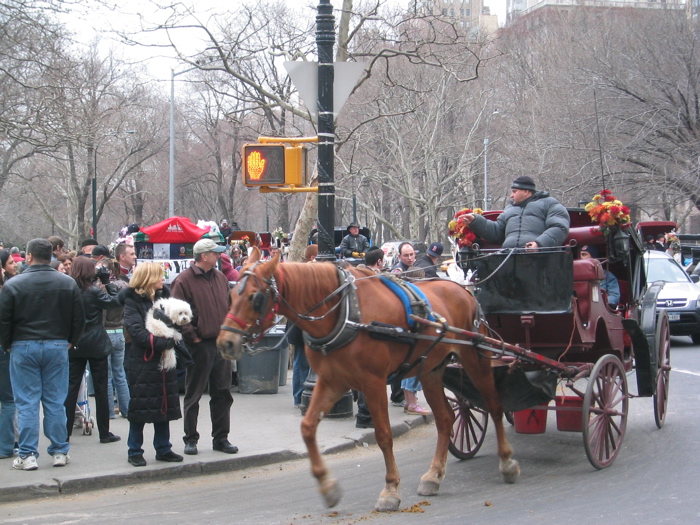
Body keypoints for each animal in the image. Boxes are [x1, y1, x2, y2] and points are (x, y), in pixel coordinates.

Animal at [219, 248, 520, 510]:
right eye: (231, 293)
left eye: (255, 297)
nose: (225, 343)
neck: (344, 313)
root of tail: (463, 289)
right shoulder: (331, 381)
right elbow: (307, 427)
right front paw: (327, 486)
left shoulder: (373, 382)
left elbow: (383, 435)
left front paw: (390, 489)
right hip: (431, 370)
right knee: (447, 419)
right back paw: (434, 475)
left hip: (474, 358)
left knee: (494, 406)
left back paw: (507, 462)